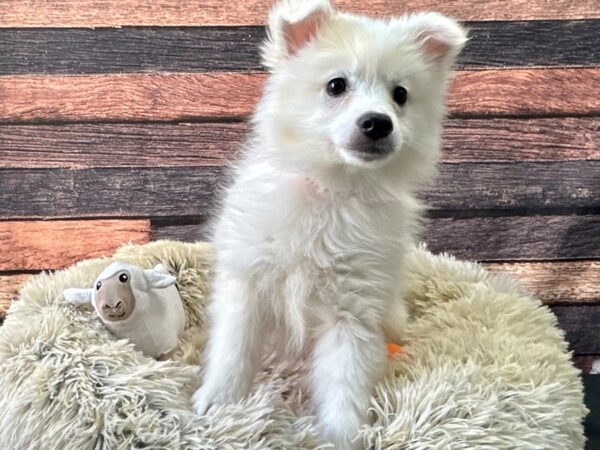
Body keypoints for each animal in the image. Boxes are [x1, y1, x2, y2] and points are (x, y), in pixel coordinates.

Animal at [195, 1, 466, 448]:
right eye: (336, 86)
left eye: (400, 95)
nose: (378, 122)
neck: (332, 190)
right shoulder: (247, 283)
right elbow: (234, 349)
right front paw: (219, 403)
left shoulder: (354, 311)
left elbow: (345, 383)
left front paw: (340, 436)